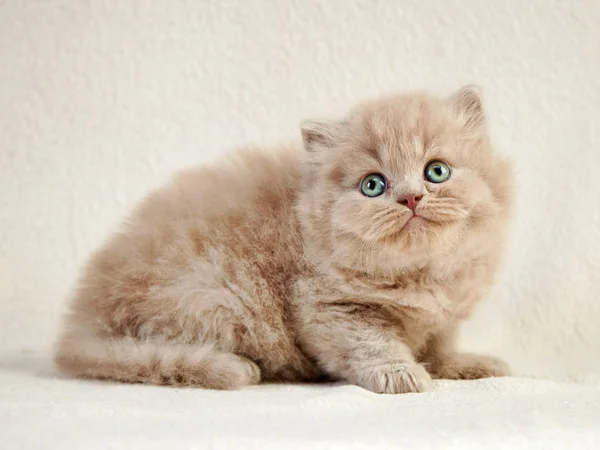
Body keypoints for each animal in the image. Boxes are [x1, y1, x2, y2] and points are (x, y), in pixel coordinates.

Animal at [55, 86, 510, 392]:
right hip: (210, 292)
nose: (411, 198)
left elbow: (440, 343)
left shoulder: (444, 314)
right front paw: (399, 373)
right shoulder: (327, 309)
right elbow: (371, 343)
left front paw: (463, 364)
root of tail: (83, 315)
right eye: (373, 185)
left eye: (437, 171)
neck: (418, 276)